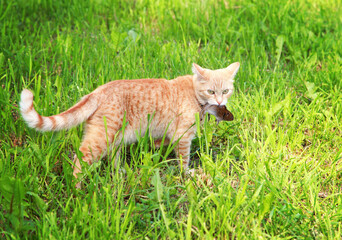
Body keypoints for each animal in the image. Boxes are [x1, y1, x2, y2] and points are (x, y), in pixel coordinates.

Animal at [19, 62, 240, 186]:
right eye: (211, 91)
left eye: (225, 91)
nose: (220, 101)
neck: (195, 95)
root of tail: (97, 91)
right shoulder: (183, 136)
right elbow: (183, 159)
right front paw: (187, 173)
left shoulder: (171, 134)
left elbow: (164, 143)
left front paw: (157, 146)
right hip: (101, 138)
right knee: (79, 159)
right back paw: (77, 190)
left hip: (116, 136)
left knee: (112, 156)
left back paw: (121, 172)